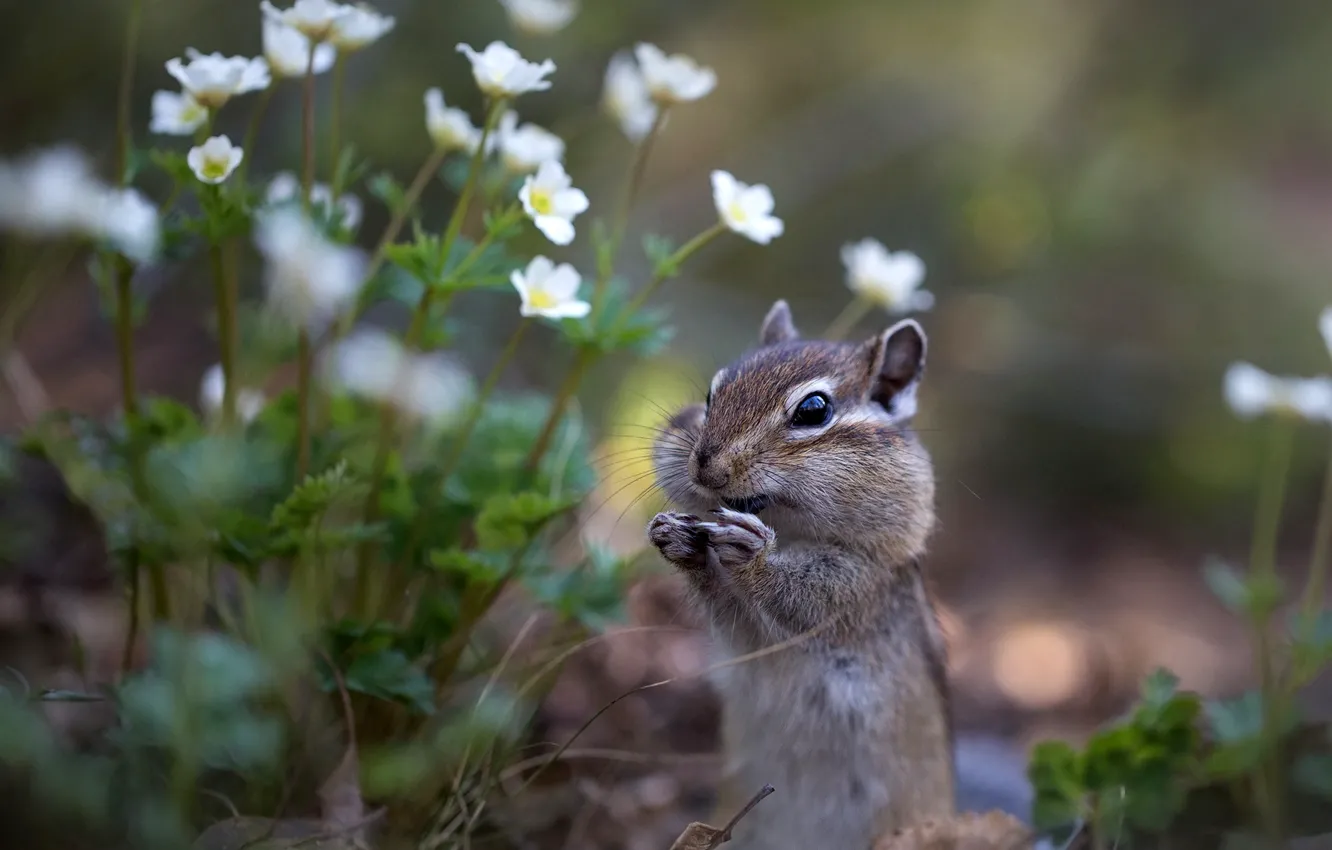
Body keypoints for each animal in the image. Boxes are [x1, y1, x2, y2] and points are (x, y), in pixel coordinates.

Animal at [648, 299, 955, 850]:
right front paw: (679, 542)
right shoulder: (748, 642)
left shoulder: (856, 589)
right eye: (710, 394)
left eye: (814, 410)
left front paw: (752, 556)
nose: (706, 468)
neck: (790, 535)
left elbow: (800, 595)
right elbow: (732, 618)